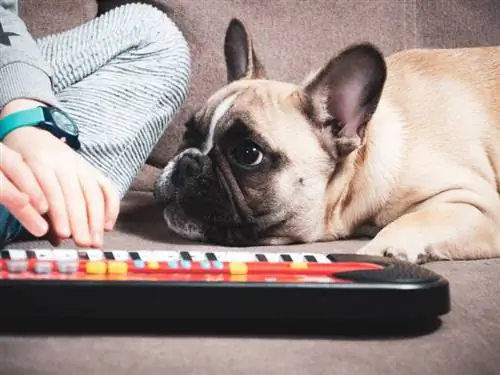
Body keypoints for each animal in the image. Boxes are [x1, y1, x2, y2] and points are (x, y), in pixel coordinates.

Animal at [153, 17, 500, 264]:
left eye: (249, 154)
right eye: (188, 132)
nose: (187, 161)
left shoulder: (479, 204)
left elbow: (415, 220)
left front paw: (382, 250)